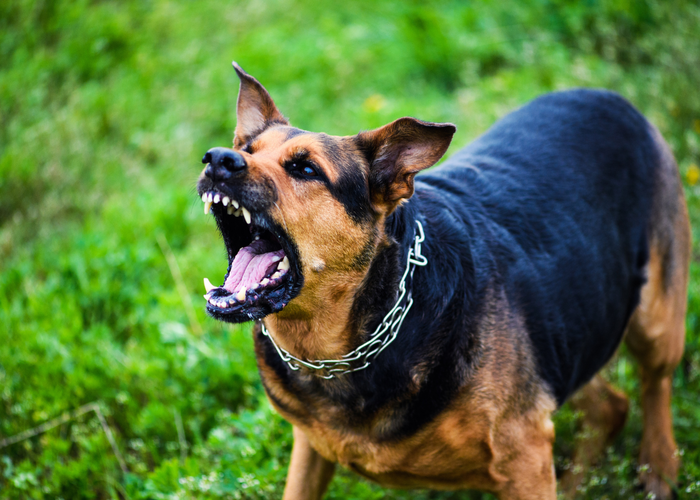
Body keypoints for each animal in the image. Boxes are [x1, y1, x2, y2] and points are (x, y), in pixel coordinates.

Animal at [196, 63, 688, 500]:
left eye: (306, 169)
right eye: (248, 147)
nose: (218, 158)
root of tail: (611, 98)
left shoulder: (524, 455)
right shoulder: (310, 448)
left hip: (654, 320)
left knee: (655, 383)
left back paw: (659, 469)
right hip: (568, 332)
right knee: (612, 407)